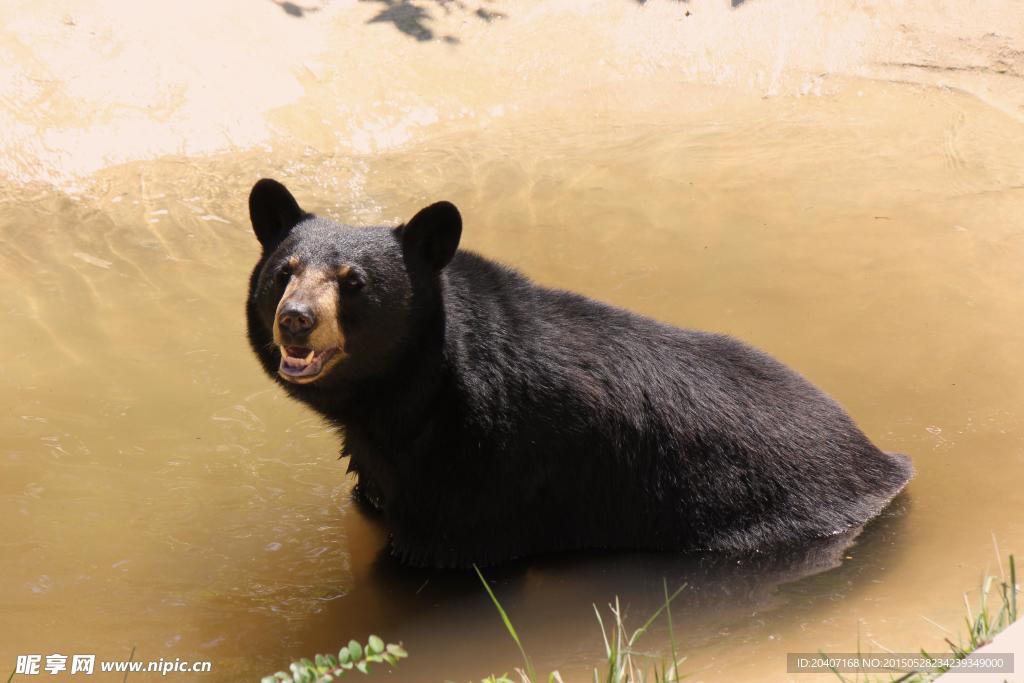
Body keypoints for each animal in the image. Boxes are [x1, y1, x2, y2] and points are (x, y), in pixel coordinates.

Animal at [245, 179, 913, 569]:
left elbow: (447, 550)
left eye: (353, 282)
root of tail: (881, 459)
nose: (296, 320)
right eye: (284, 272)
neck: (404, 398)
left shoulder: (480, 465)